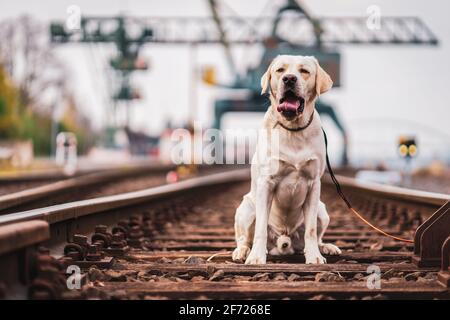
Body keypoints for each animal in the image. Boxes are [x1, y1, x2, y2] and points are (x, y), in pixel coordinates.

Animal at [232, 54, 342, 264]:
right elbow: (260, 230)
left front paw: (314, 256)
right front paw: (256, 257)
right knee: (244, 238)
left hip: (322, 211)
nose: (289, 79)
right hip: (246, 209)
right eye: (280, 70)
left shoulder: (314, 184)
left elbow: (311, 231)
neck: (293, 129)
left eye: (304, 71)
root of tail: (283, 240)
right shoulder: (266, 182)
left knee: (315, 236)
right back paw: (242, 251)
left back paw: (325, 247)